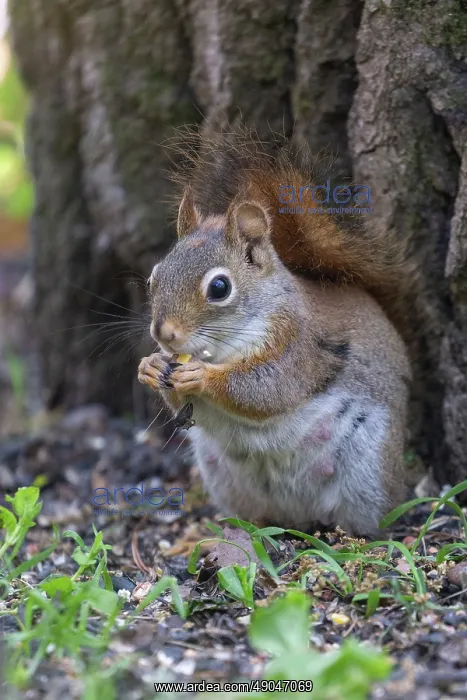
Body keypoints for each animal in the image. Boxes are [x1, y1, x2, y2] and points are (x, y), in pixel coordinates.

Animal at [138, 128, 414, 536]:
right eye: (153, 277)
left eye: (219, 288)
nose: (164, 334)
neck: (222, 349)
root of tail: (298, 516)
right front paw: (151, 366)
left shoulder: (299, 344)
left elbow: (267, 390)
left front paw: (202, 377)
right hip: (223, 476)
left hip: (368, 467)